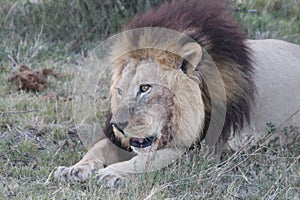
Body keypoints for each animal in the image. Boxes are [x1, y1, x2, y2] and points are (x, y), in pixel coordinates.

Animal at [54, 0, 300, 188]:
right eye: (120, 91)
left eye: (145, 88)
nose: (118, 125)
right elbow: (99, 148)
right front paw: (73, 169)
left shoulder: (202, 149)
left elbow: (150, 160)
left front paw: (111, 173)